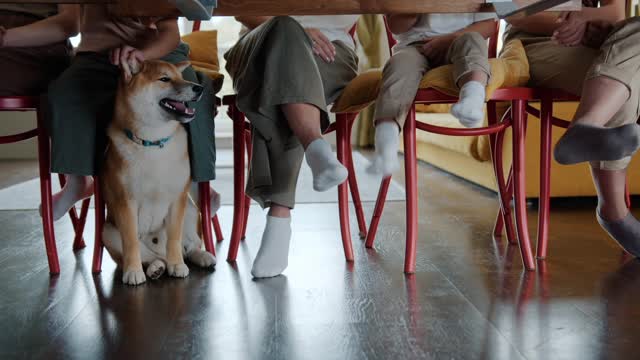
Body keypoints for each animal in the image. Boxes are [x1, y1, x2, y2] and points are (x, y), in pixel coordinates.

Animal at [102, 60, 215, 286]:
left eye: (180, 77)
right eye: (164, 79)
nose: (198, 88)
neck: (153, 143)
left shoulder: (177, 199)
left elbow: (174, 239)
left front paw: (177, 265)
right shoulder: (125, 202)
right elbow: (131, 243)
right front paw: (133, 271)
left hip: (191, 211)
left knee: (188, 247)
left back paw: (200, 256)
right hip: (107, 231)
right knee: (150, 256)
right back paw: (155, 268)